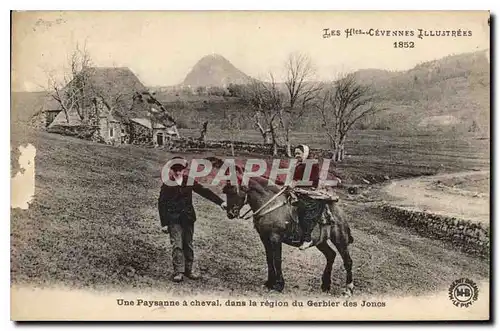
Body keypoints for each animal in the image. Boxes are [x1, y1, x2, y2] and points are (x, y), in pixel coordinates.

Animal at [207, 157, 356, 296]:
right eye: (226, 190)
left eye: (234, 189)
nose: (230, 213)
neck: (270, 204)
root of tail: (339, 212)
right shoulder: (264, 238)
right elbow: (269, 259)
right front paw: (269, 282)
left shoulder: (275, 238)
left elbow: (277, 260)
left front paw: (279, 285)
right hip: (320, 241)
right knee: (331, 255)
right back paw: (325, 285)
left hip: (340, 239)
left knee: (347, 261)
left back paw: (348, 289)